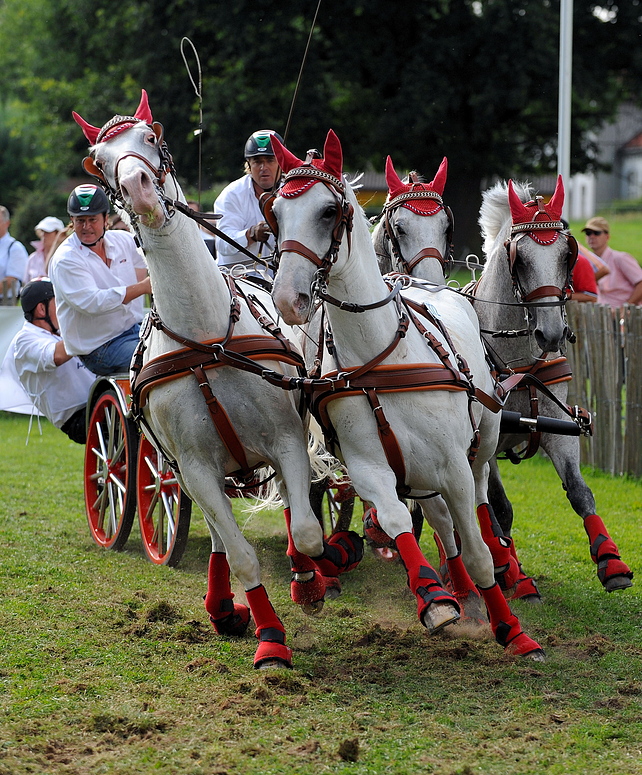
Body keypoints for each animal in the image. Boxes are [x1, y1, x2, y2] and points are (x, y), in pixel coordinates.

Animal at [72, 94, 362, 668]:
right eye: (99, 160)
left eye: (153, 139)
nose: (139, 189)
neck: (208, 337)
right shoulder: (195, 467)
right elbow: (242, 554)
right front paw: (268, 634)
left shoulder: (287, 440)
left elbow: (306, 530)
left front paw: (317, 576)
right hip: (181, 470)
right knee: (219, 537)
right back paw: (225, 607)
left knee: (298, 511)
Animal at [268, 129, 544, 660]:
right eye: (275, 211)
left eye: (328, 212)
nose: (288, 299)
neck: (381, 356)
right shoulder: (369, 466)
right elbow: (397, 519)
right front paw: (433, 597)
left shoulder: (454, 466)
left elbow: (478, 552)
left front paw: (513, 630)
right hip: (420, 471)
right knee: (437, 519)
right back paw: (456, 591)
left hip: (479, 448)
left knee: (478, 509)